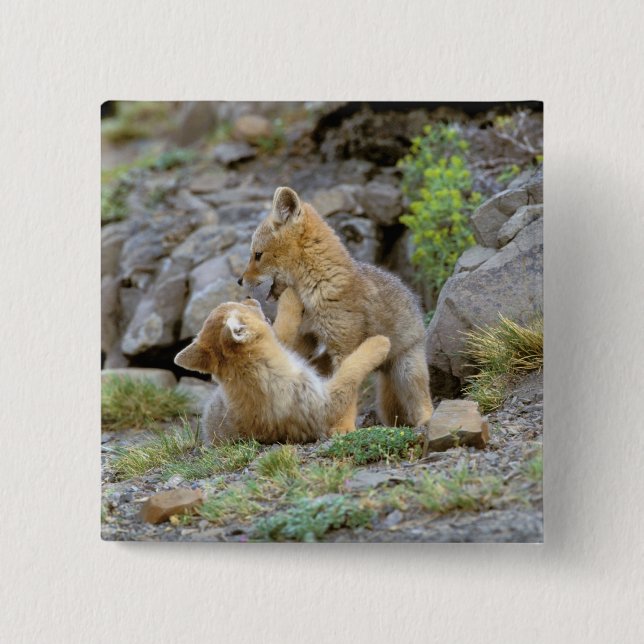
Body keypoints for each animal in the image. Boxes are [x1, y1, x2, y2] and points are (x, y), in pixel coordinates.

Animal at [174, 289, 391, 445]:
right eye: (238, 306)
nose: (249, 296)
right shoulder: (322, 404)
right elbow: (350, 370)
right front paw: (379, 343)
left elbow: (284, 330)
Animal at [238, 186, 434, 432]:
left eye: (257, 255)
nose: (239, 281)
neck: (317, 287)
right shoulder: (306, 339)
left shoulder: (344, 348)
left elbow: (348, 385)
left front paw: (343, 427)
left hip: (408, 372)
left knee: (424, 400)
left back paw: (426, 420)